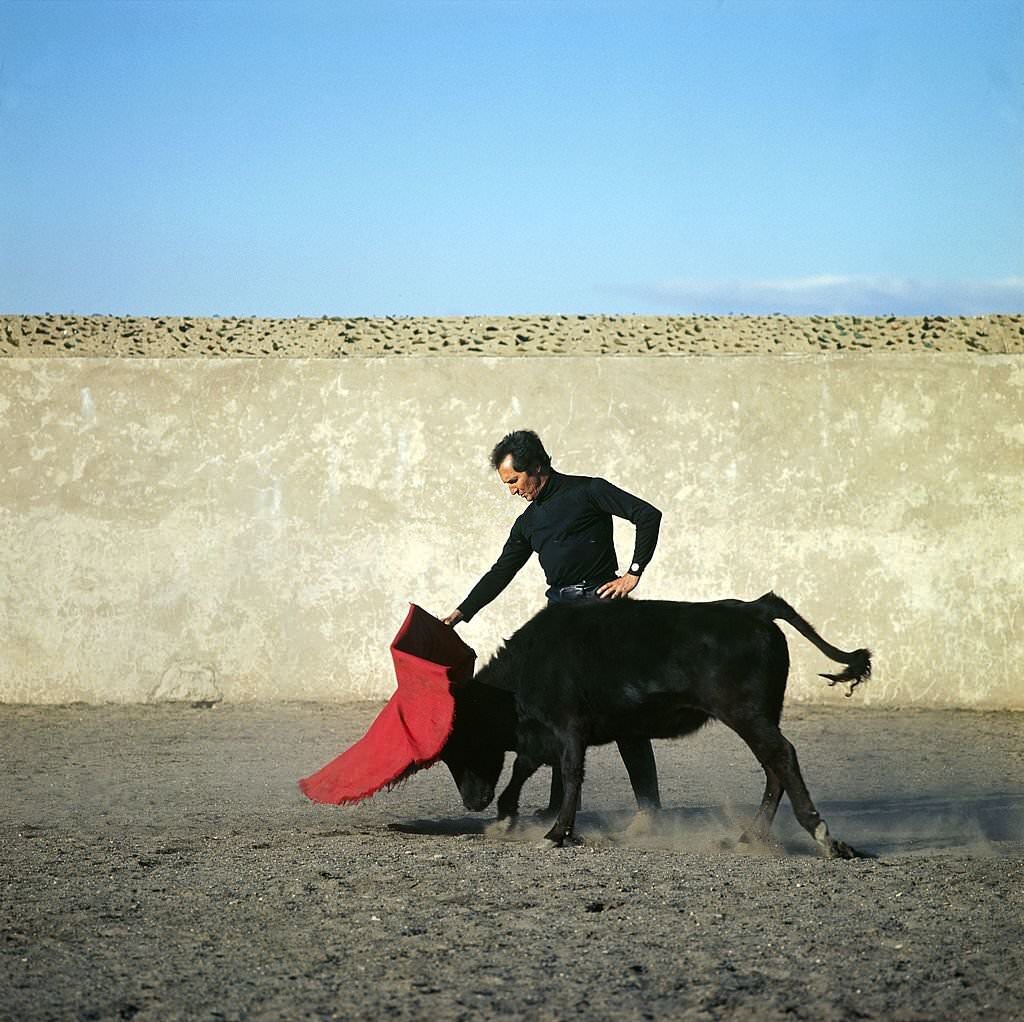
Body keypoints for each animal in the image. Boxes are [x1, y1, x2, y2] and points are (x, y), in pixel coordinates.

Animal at [440, 598, 872, 860]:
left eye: (461, 740)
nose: (473, 802)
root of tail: (754, 608)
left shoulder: (567, 728)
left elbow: (570, 774)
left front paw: (555, 833)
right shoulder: (542, 735)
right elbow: (522, 768)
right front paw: (506, 817)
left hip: (746, 713)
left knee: (781, 756)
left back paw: (822, 835)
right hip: (763, 714)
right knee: (773, 767)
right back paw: (749, 837)